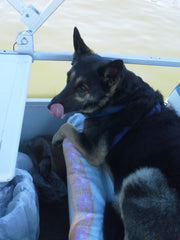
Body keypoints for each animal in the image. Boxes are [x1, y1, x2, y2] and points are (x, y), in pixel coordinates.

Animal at [47, 27, 180, 239]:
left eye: (82, 88)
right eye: (68, 78)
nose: (50, 106)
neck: (121, 99)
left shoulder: (93, 151)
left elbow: (67, 127)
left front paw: (56, 137)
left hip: (143, 177)